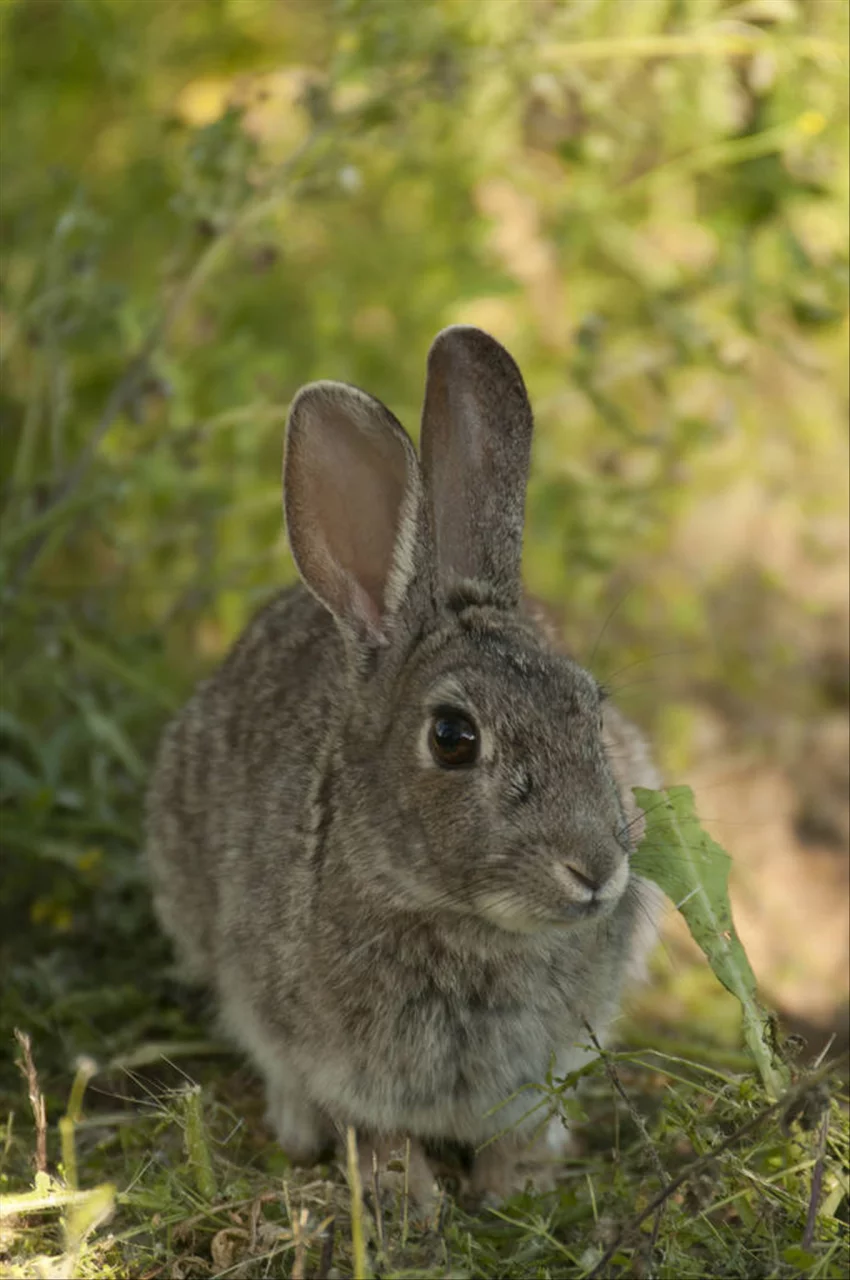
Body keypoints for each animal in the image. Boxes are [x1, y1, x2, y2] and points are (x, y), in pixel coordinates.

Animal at [145, 327, 665, 1208]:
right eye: (453, 737)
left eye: (589, 708)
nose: (596, 870)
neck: (462, 921)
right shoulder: (324, 1051)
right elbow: (372, 1126)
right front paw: (410, 1199)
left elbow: (522, 1124)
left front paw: (515, 1186)